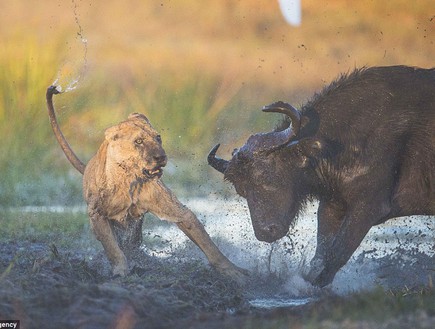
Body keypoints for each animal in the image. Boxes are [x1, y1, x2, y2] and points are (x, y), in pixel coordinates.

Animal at [208, 65, 435, 286]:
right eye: (241, 190)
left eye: (267, 176)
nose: (265, 232)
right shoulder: (332, 205)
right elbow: (320, 256)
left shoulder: (369, 207)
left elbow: (337, 253)